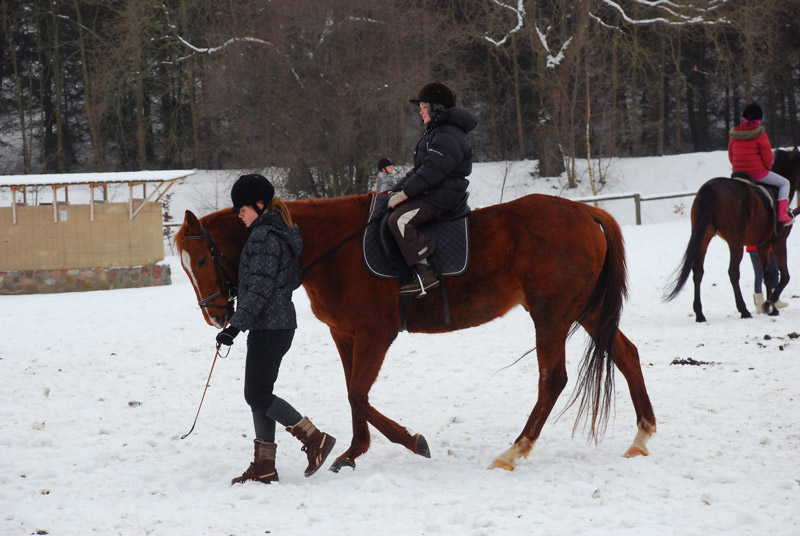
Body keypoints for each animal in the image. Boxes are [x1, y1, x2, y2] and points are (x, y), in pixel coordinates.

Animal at [177, 195, 656, 472]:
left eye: (200, 261)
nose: (216, 318)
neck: (329, 246)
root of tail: (586, 210)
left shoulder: (376, 333)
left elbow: (358, 395)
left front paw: (411, 442)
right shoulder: (346, 335)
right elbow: (354, 393)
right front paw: (351, 453)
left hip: (552, 315)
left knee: (553, 379)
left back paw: (513, 452)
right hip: (587, 310)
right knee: (627, 355)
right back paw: (641, 437)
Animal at [664, 148, 800, 322]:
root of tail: (710, 188)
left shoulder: (762, 245)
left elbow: (767, 275)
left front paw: (772, 308)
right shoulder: (779, 242)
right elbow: (784, 276)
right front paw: (769, 305)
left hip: (704, 236)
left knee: (698, 271)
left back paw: (700, 314)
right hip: (735, 241)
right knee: (733, 272)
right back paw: (744, 310)